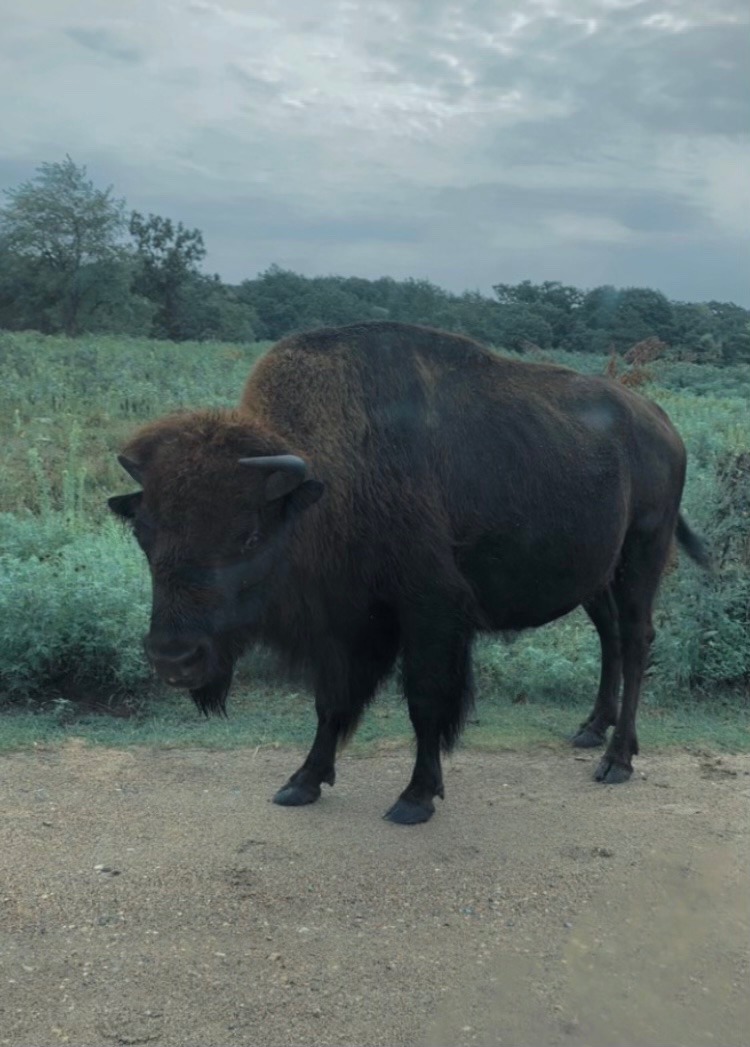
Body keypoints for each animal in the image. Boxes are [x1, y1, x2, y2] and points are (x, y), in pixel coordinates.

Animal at [109, 320, 709, 824]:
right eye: (143, 533)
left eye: (248, 535)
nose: (174, 659)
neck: (327, 484)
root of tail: (663, 424)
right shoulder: (344, 626)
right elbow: (331, 702)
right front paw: (302, 782)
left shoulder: (430, 614)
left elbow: (425, 702)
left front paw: (415, 797)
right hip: (595, 577)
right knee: (610, 637)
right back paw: (589, 730)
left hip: (641, 558)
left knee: (636, 640)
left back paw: (617, 760)